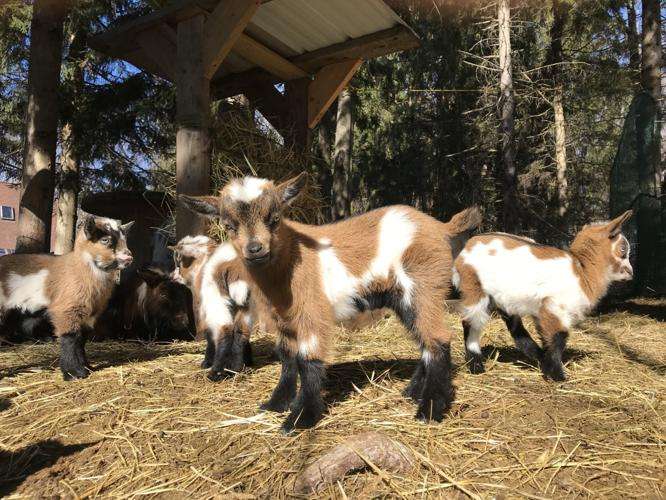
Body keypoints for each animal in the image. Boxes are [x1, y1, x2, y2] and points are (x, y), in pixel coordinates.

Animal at [0, 214, 134, 379]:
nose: (128, 257)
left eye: (125, 238)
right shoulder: (66, 309)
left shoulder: (88, 314)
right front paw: (73, 373)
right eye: (105, 240)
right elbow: (69, 339)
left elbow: (81, 340)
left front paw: (86, 368)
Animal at [180, 173, 482, 433]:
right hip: (405, 299)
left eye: (275, 218)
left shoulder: (311, 312)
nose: (255, 249)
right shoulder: (284, 319)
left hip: (423, 286)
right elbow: (287, 358)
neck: (290, 260)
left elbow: (308, 360)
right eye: (229, 225)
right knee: (424, 340)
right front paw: (277, 403)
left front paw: (301, 418)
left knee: (438, 339)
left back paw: (429, 410)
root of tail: (441, 226)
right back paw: (413, 392)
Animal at [452, 211, 634, 380]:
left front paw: (547, 367)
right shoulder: (555, 307)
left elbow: (546, 337)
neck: (582, 270)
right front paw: (557, 376)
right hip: (474, 287)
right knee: (471, 323)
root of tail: (467, 246)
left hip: (503, 298)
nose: (631, 272)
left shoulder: (542, 310)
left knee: (515, 328)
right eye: (623, 249)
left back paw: (536, 355)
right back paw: (476, 366)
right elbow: (558, 337)